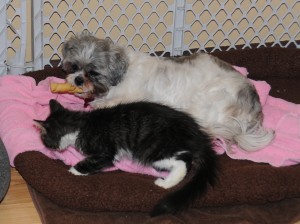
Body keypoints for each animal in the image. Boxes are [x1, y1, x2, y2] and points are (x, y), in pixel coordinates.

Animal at [34, 99, 218, 216]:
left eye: (44, 140)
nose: (46, 146)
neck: (79, 124)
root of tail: (198, 136)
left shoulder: (105, 152)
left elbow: (89, 162)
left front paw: (72, 171)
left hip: (153, 149)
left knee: (184, 162)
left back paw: (166, 183)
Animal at [61, 32, 274, 151]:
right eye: (74, 67)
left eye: (93, 73)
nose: (78, 80)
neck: (123, 71)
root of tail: (253, 111)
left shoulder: (129, 95)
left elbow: (110, 102)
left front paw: (98, 103)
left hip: (207, 101)